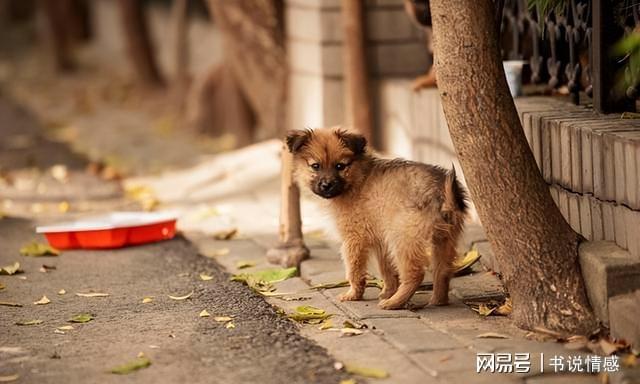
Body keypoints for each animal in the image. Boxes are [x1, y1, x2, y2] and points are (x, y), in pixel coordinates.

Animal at [288, 127, 468, 310]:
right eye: (315, 166)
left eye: (340, 166)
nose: (326, 185)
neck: (357, 179)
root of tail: (441, 191)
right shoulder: (381, 242)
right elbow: (386, 270)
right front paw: (387, 291)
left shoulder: (354, 239)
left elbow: (354, 270)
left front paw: (354, 294)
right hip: (444, 239)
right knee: (443, 271)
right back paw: (438, 300)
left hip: (403, 239)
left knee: (415, 273)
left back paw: (393, 303)